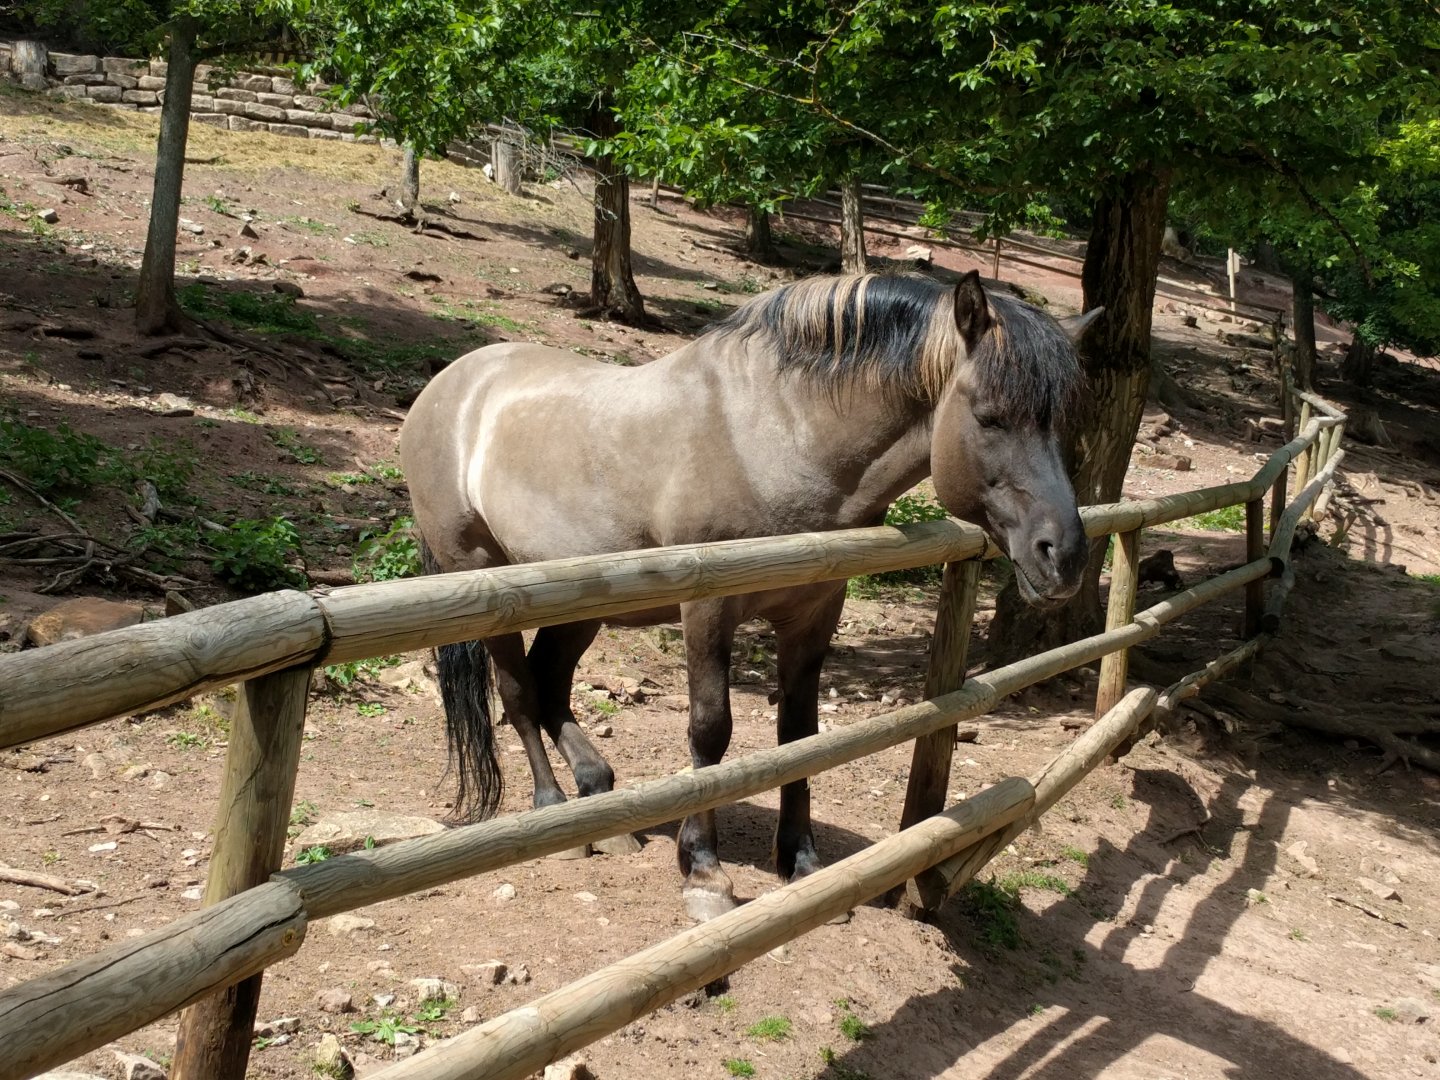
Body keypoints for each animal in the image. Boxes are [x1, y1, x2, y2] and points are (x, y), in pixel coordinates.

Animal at [401, 270, 1098, 920]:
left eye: (1065, 422)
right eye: (989, 417)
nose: (1063, 558)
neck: (774, 435)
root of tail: (448, 386)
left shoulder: (815, 612)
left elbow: (799, 733)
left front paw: (802, 859)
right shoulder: (707, 608)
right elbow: (711, 729)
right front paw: (704, 872)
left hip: (581, 601)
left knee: (549, 686)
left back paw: (601, 799)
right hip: (487, 579)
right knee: (519, 694)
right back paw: (554, 815)